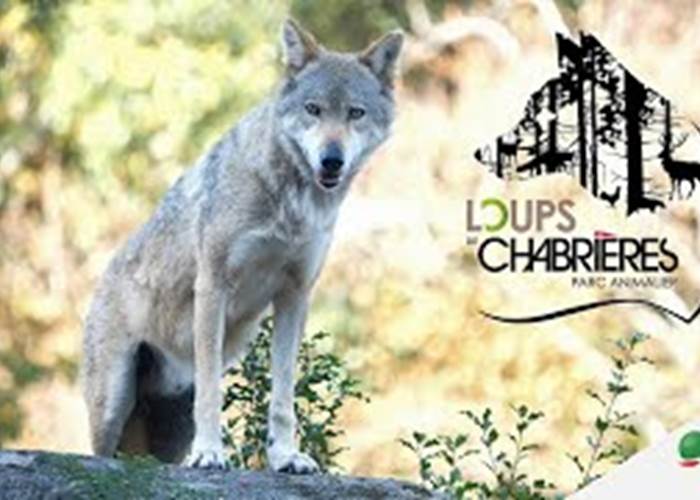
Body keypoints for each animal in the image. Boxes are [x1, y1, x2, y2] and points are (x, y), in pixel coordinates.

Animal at [82, 19, 403, 473]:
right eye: (313, 109)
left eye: (355, 113)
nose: (331, 160)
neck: (291, 202)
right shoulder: (214, 286)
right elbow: (212, 394)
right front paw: (210, 453)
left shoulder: (295, 296)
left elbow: (283, 395)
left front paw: (285, 456)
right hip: (112, 404)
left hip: (165, 432)